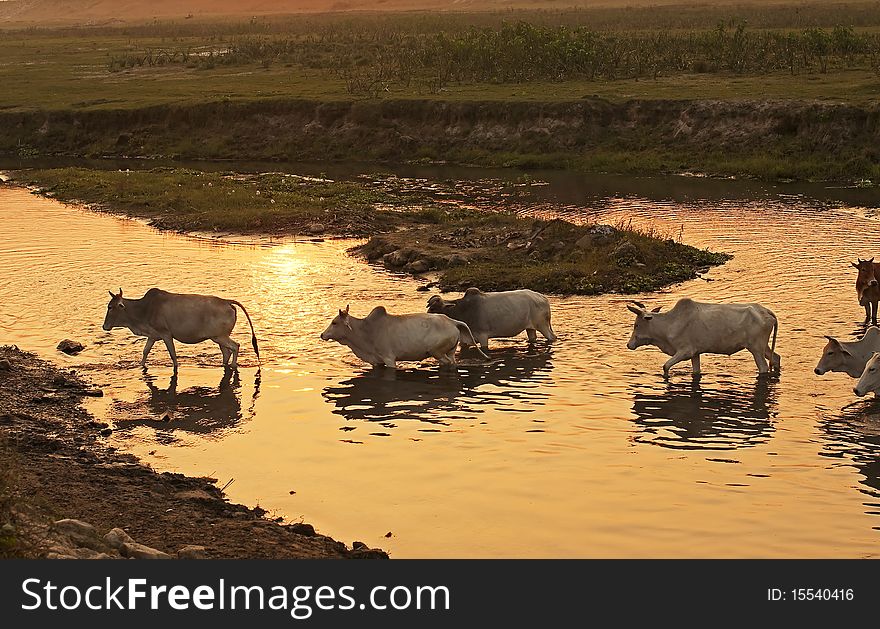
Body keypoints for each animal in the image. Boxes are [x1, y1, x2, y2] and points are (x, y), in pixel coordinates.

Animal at [102, 288, 260, 370]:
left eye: (110, 307)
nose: (104, 326)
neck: (144, 309)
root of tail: (227, 302)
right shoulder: (152, 336)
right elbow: (145, 351)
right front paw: (140, 365)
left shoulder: (166, 334)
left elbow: (172, 354)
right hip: (219, 338)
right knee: (226, 352)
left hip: (220, 337)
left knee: (235, 346)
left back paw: (233, 365)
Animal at [320, 306, 488, 368]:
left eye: (334, 322)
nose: (322, 334)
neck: (366, 331)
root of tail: (452, 321)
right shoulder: (377, 361)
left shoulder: (389, 358)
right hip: (450, 351)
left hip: (437, 352)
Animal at [426, 288, 556, 350]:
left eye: (433, 308)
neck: (462, 310)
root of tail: (543, 298)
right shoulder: (464, 339)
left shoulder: (483, 336)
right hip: (530, 328)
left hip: (543, 326)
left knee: (552, 337)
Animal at [624, 296, 780, 376]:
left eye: (636, 325)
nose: (629, 344)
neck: (668, 324)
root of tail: (766, 311)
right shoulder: (695, 353)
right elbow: (696, 371)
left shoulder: (685, 351)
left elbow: (665, 366)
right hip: (763, 346)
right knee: (776, 358)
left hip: (756, 348)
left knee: (763, 367)